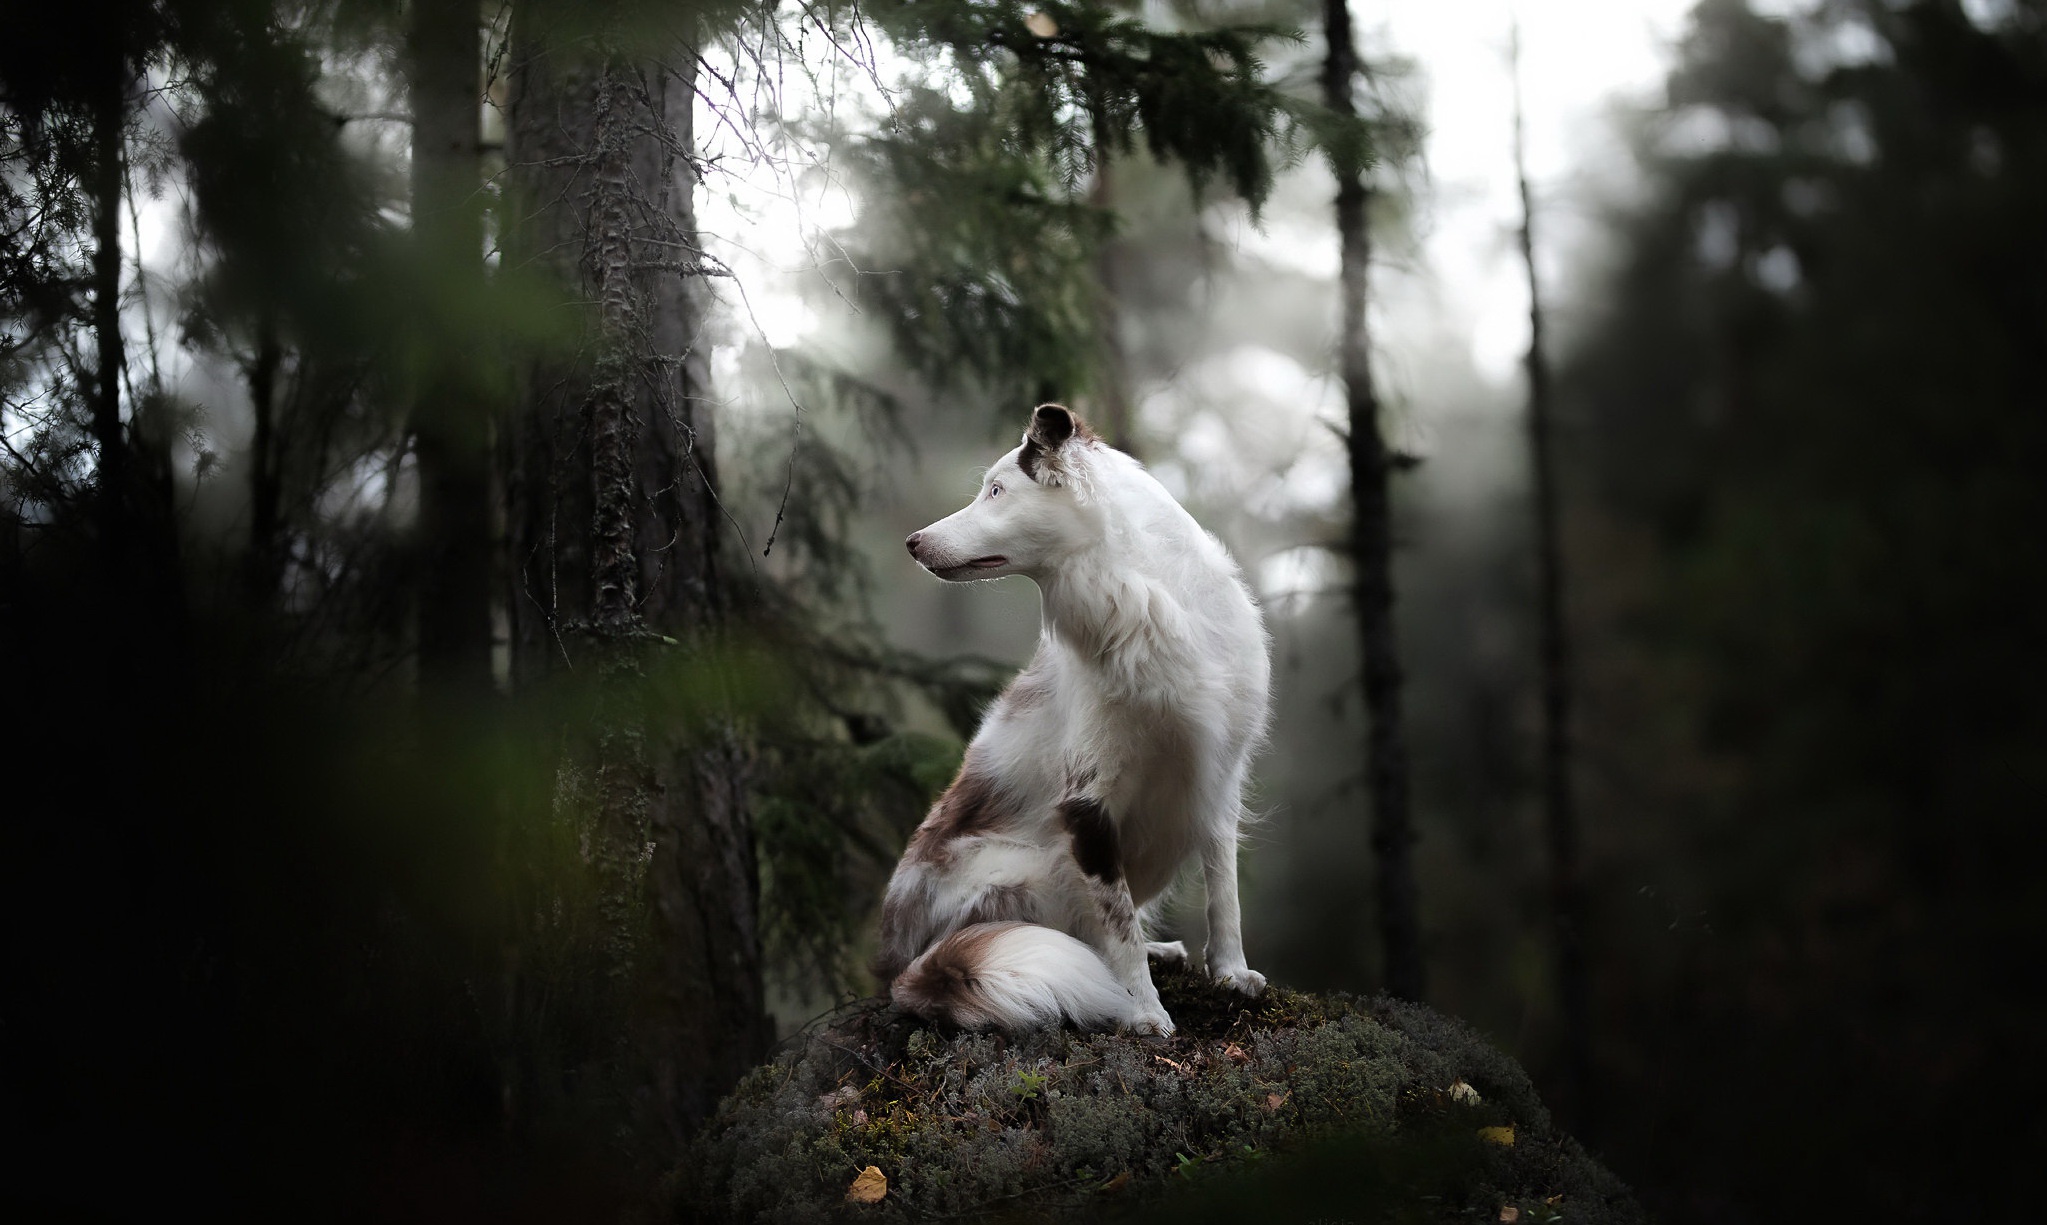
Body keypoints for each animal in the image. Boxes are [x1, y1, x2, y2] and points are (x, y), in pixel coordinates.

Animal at [876, 405, 1269, 1036]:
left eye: (996, 491)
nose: (912, 542)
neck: (1143, 600)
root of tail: (896, 970)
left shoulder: (1218, 777)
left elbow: (1223, 892)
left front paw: (1231, 974)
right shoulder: (1086, 802)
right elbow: (1117, 921)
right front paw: (1144, 1010)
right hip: (1028, 870)